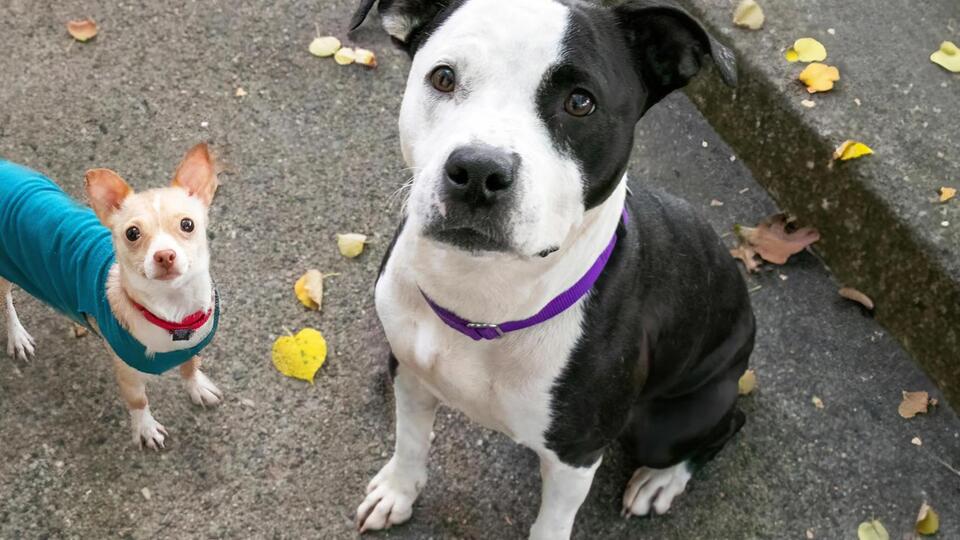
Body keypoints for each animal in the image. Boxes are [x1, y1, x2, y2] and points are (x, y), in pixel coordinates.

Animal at [0, 143, 224, 450]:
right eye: (132, 233)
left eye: (187, 224)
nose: (164, 255)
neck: (173, 313)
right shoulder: (126, 373)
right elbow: (138, 401)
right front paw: (145, 428)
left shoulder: (191, 347)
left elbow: (190, 366)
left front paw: (197, 387)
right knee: (6, 304)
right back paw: (17, 336)